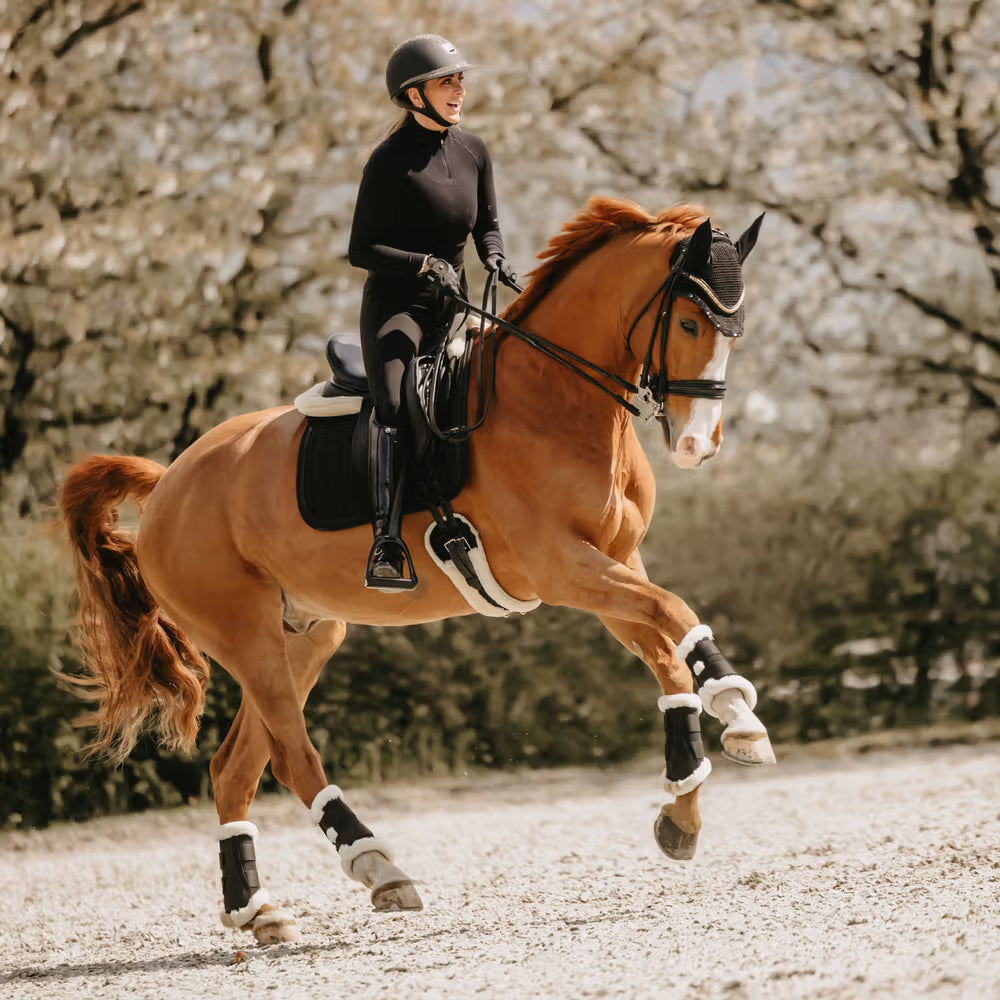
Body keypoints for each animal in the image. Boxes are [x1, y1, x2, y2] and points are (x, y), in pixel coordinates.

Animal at [58, 196, 773, 945]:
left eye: (736, 329)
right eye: (689, 322)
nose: (697, 446)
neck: (554, 399)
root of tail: (168, 481)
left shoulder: (613, 564)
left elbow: (668, 658)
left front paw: (682, 807)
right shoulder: (561, 567)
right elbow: (676, 611)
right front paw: (739, 712)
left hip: (304, 634)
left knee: (235, 768)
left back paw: (256, 910)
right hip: (244, 633)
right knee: (291, 756)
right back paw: (378, 868)